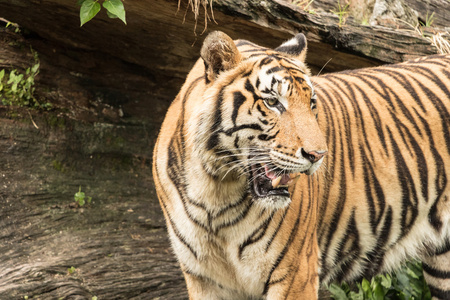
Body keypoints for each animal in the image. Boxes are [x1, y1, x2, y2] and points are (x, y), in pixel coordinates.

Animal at [152, 31, 450, 300]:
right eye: (272, 102)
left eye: (311, 103)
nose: (318, 155)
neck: (215, 190)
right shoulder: (204, 279)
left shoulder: (295, 273)